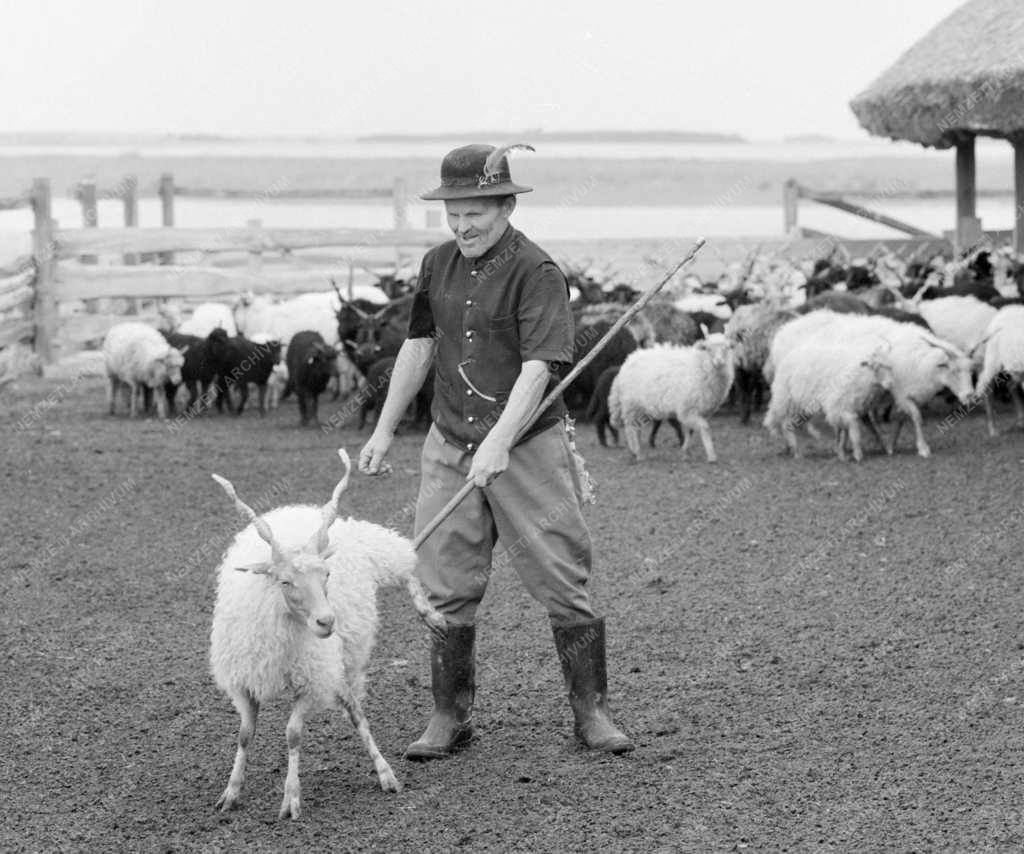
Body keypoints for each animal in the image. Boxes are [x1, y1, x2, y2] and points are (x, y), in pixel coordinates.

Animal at [209, 448, 446, 823]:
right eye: (284, 581)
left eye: (327, 575)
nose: (326, 621)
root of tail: (300, 511)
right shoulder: (244, 682)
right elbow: (245, 734)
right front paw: (231, 792)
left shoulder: (312, 680)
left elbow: (293, 734)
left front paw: (291, 798)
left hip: (367, 581)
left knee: (406, 566)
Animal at [606, 333, 737, 466]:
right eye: (708, 349)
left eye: (727, 348)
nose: (719, 361)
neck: (700, 366)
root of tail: (627, 362)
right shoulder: (687, 409)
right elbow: (705, 428)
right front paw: (711, 456)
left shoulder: (697, 411)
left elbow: (690, 431)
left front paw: (686, 452)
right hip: (632, 406)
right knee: (631, 429)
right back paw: (638, 453)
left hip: (641, 409)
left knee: (637, 429)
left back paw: (636, 453)